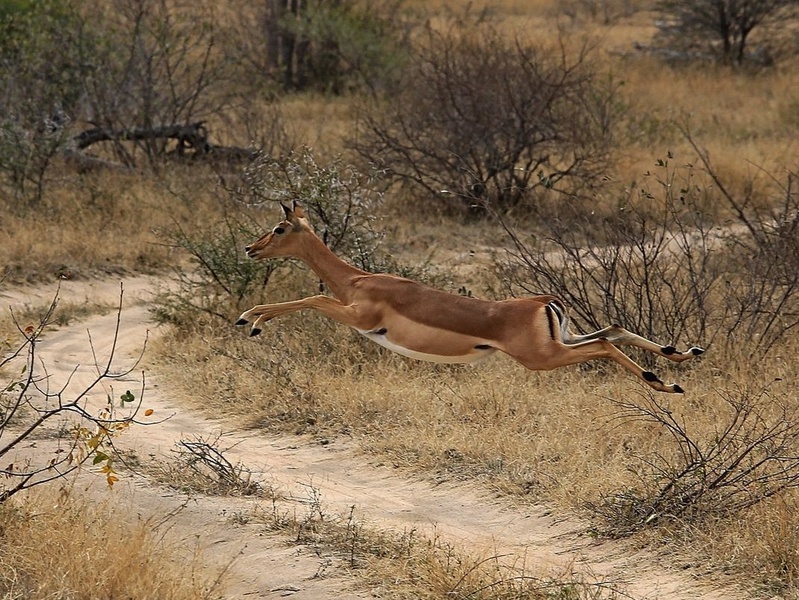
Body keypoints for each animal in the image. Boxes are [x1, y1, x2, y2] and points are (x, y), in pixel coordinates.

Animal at [236, 202, 704, 393]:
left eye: (279, 228)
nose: (250, 249)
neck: (358, 280)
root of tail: (543, 301)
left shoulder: (359, 317)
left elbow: (308, 300)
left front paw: (249, 319)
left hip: (542, 357)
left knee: (606, 345)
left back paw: (664, 383)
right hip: (563, 340)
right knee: (614, 328)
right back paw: (681, 358)